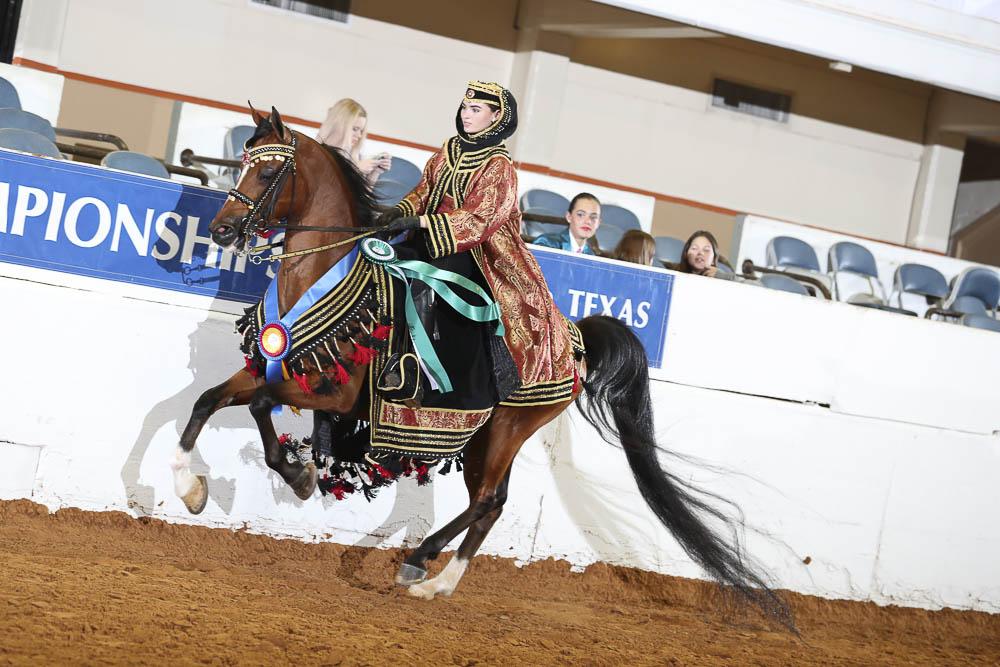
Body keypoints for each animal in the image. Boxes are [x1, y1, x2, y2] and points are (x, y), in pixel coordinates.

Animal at [173, 105, 794, 631]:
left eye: (266, 172)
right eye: (244, 161)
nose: (223, 230)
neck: (332, 279)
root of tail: (574, 340)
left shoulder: (334, 395)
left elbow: (258, 408)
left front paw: (298, 475)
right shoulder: (274, 367)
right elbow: (206, 400)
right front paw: (190, 488)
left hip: (505, 429)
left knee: (487, 501)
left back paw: (422, 565)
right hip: (488, 436)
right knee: (491, 504)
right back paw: (438, 579)